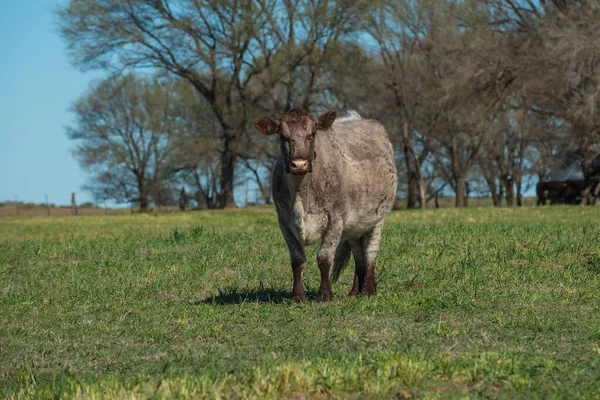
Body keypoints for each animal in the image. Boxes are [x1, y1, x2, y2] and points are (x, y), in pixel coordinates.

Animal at [254, 108, 398, 302]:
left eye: (312, 134)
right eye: (283, 136)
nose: (299, 163)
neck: (301, 196)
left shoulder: (335, 220)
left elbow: (324, 258)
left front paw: (325, 295)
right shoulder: (284, 223)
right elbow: (297, 260)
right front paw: (297, 296)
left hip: (377, 218)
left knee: (370, 251)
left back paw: (369, 290)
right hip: (355, 223)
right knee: (358, 254)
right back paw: (355, 292)